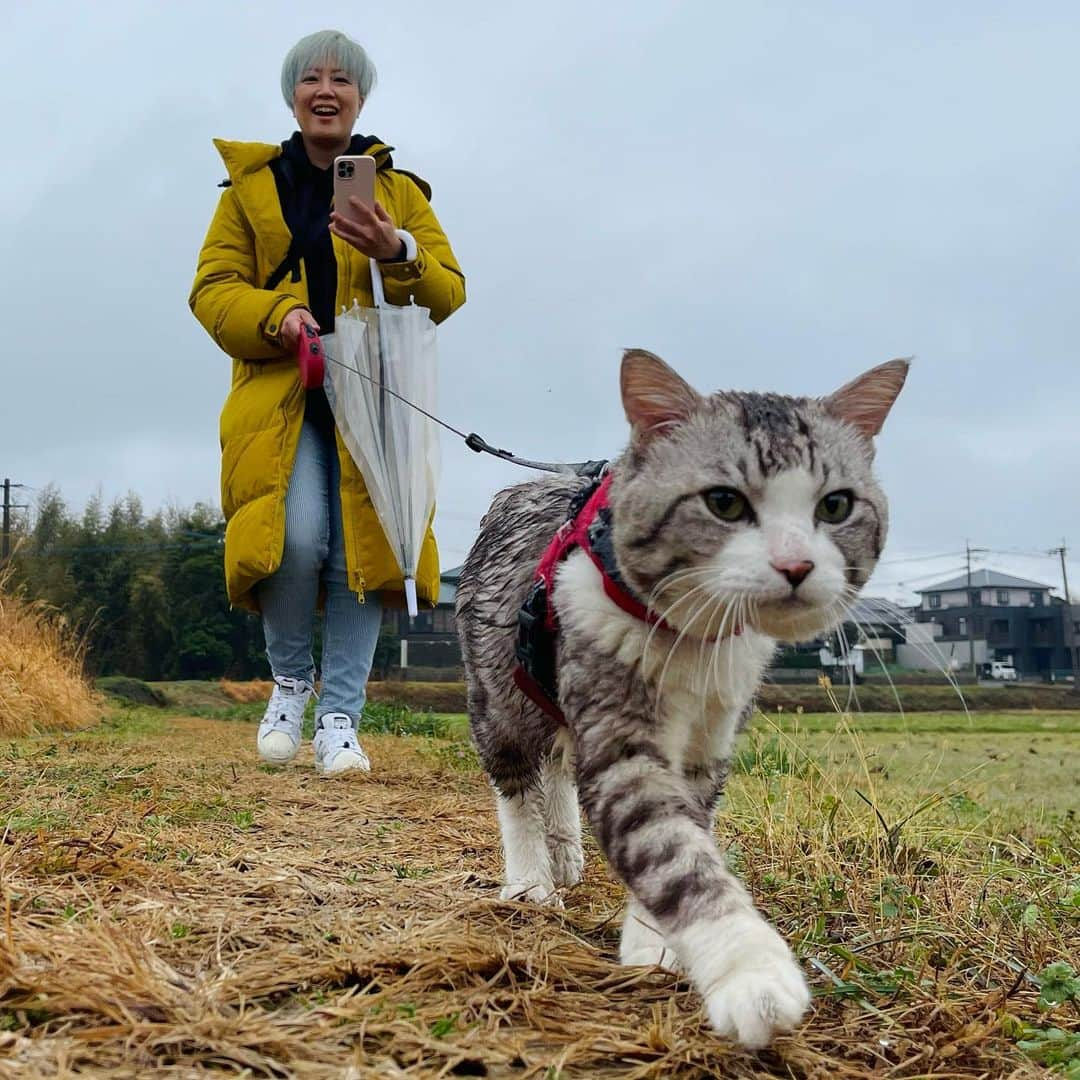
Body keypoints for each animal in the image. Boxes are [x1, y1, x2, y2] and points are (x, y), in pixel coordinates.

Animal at [451, 349, 907, 1041]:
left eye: (835, 506)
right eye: (724, 502)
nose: (796, 566)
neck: (696, 636)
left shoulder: (709, 739)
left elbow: (682, 828)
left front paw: (655, 946)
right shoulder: (618, 729)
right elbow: (668, 847)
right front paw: (750, 971)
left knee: (555, 763)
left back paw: (565, 850)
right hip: (500, 682)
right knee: (516, 773)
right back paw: (532, 879)